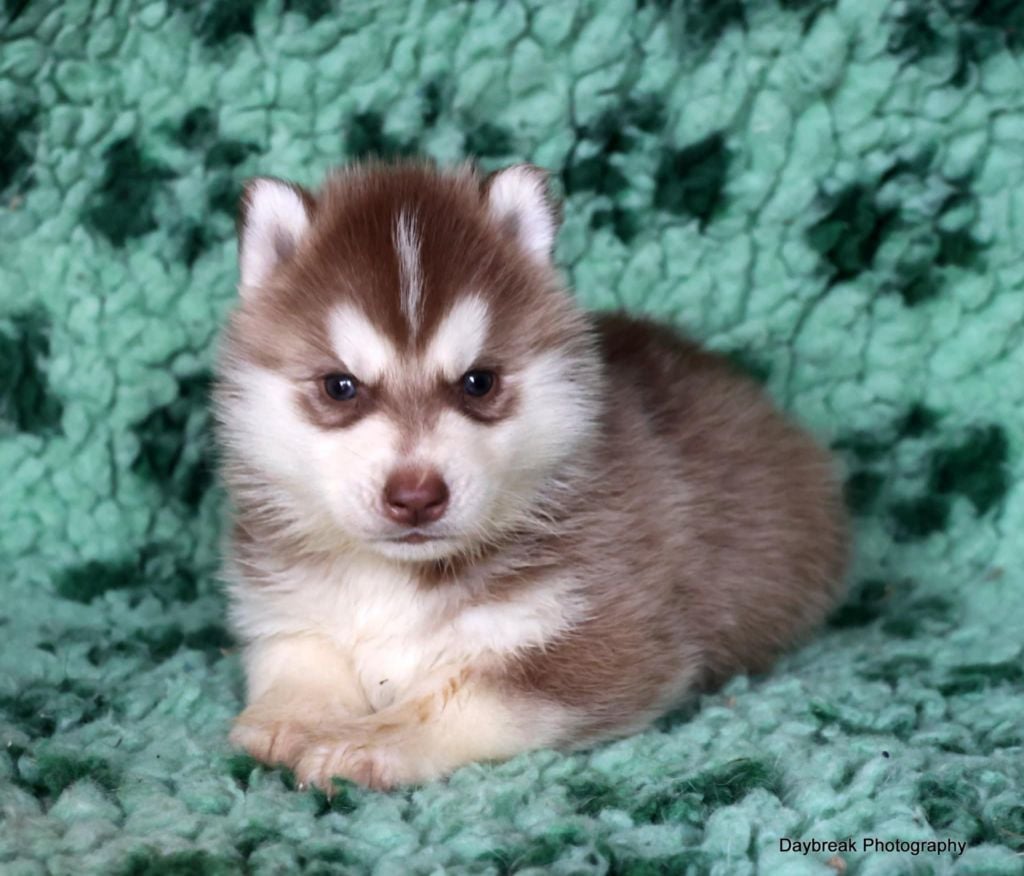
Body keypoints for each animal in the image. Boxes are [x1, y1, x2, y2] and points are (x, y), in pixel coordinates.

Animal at [214, 160, 847, 790]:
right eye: (339, 386)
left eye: (479, 382)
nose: (416, 496)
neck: (401, 578)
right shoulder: (279, 602)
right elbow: (297, 652)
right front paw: (293, 717)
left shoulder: (610, 638)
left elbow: (466, 697)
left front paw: (370, 740)